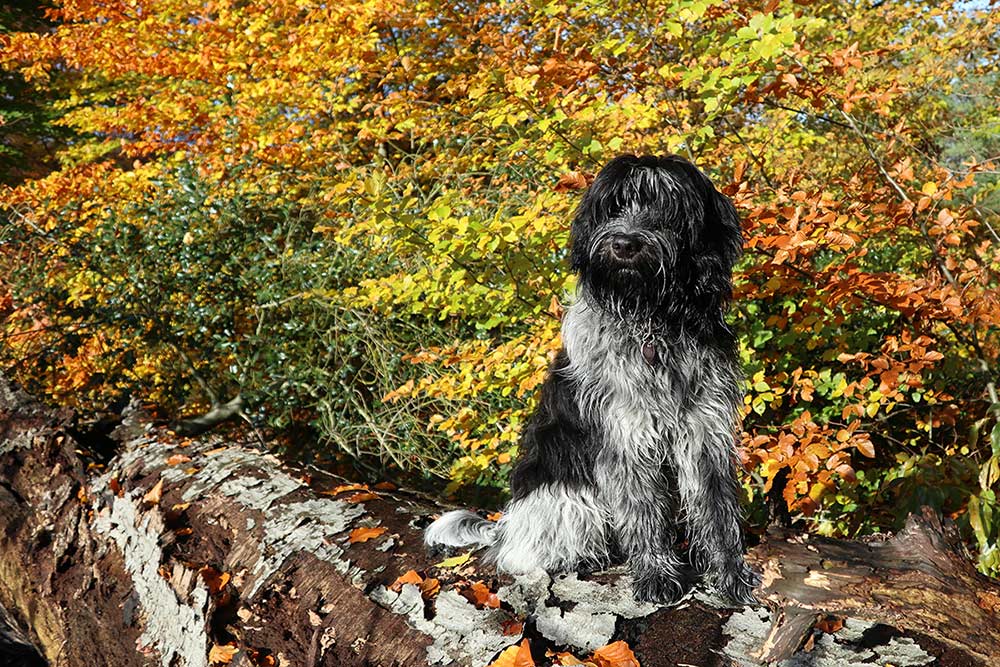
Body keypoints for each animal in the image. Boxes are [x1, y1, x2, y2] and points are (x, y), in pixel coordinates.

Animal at [424, 153, 756, 604]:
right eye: (614, 207)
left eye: (665, 208)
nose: (624, 245)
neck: (652, 321)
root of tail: (506, 525)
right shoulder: (626, 437)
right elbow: (642, 511)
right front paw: (656, 576)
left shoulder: (705, 430)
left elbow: (717, 511)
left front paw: (730, 576)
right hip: (568, 500)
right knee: (522, 554)